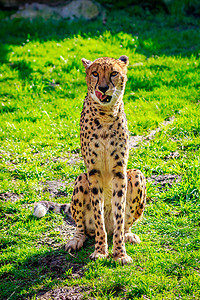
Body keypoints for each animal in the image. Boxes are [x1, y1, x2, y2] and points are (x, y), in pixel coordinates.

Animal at [34, 56, 146, 264]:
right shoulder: (93, 173)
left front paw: (119, 253)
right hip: (81, 179)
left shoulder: (120, 173)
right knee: (83, 228)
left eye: (113, 73)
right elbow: (98, 216)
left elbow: (119, 218)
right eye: (95, 73)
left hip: (136, 175)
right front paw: (101, 251)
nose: (102, 87)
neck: (106, 114)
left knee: (123, 224)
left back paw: (128, 234)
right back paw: (75, 240)